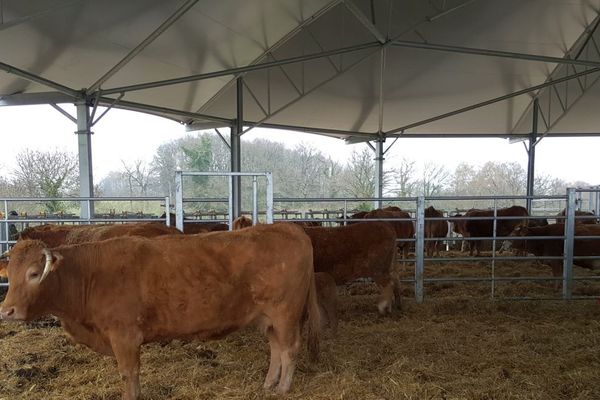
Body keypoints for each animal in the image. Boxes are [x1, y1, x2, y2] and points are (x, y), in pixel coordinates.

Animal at [0, 223, 322, 398]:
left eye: (33, 273)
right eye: (10, 274)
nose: (7, 311)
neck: (89, 274)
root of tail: (287, 228)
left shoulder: (124, 336)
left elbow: (128, 373)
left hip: (285, 313)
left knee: (289, 349)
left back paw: (283, 388)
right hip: (268, 318)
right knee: (276, 349)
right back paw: (269, 384)